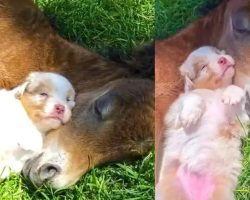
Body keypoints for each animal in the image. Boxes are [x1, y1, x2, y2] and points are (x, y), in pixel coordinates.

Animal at [156, 46, 248, 200]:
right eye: (203, 67)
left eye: (218, 53)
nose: (222, 59)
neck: (212, 91)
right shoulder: (173, 115)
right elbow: (193, 96)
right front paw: (190, 114)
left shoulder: (238, 122)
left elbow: (235, 91)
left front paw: (231, 94)